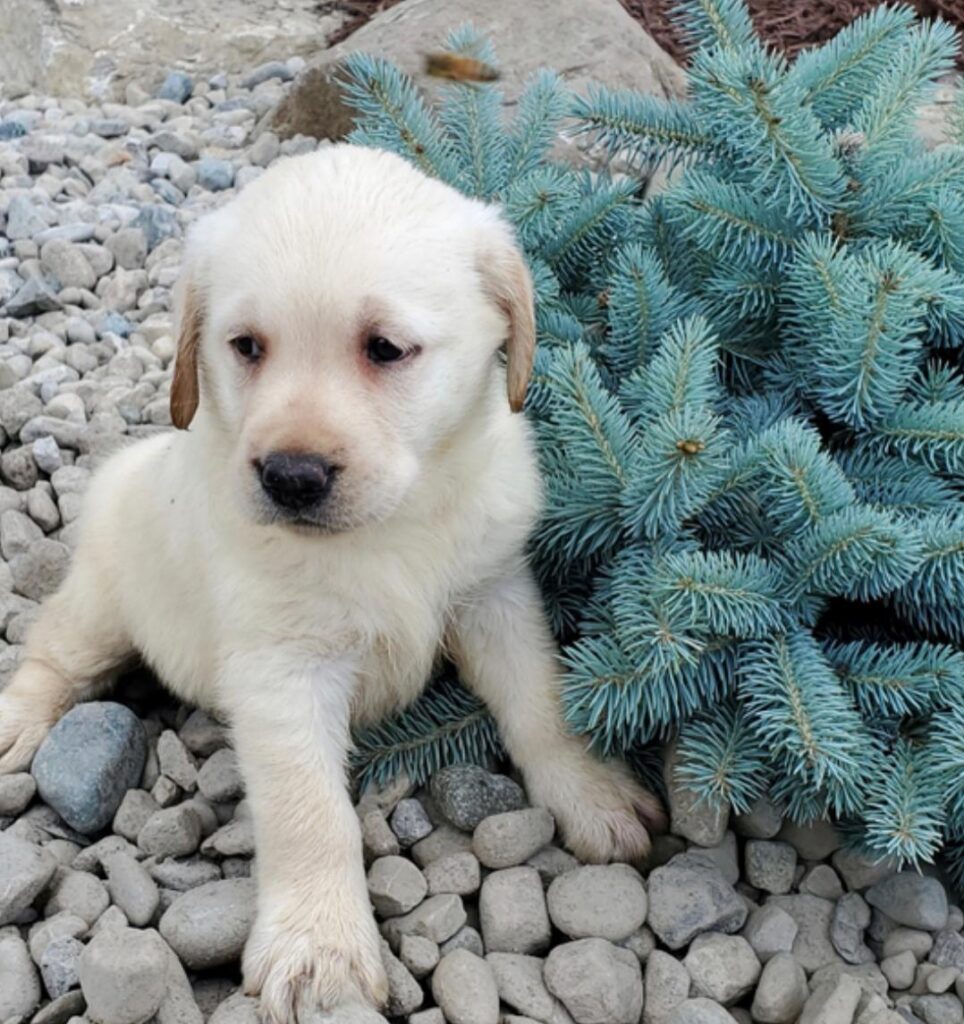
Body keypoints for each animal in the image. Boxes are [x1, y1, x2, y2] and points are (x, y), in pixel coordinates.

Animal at [0, 144, 662, 1021]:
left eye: (384, 348)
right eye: (246, 346)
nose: (291, 476)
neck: (392, 525)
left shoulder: (495, 592)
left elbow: (539, 702)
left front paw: (591, 791)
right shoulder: (282, 667)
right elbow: (310, 813)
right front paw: (320, 947)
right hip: (104, 597)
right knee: (55, 655)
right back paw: (16, 723)